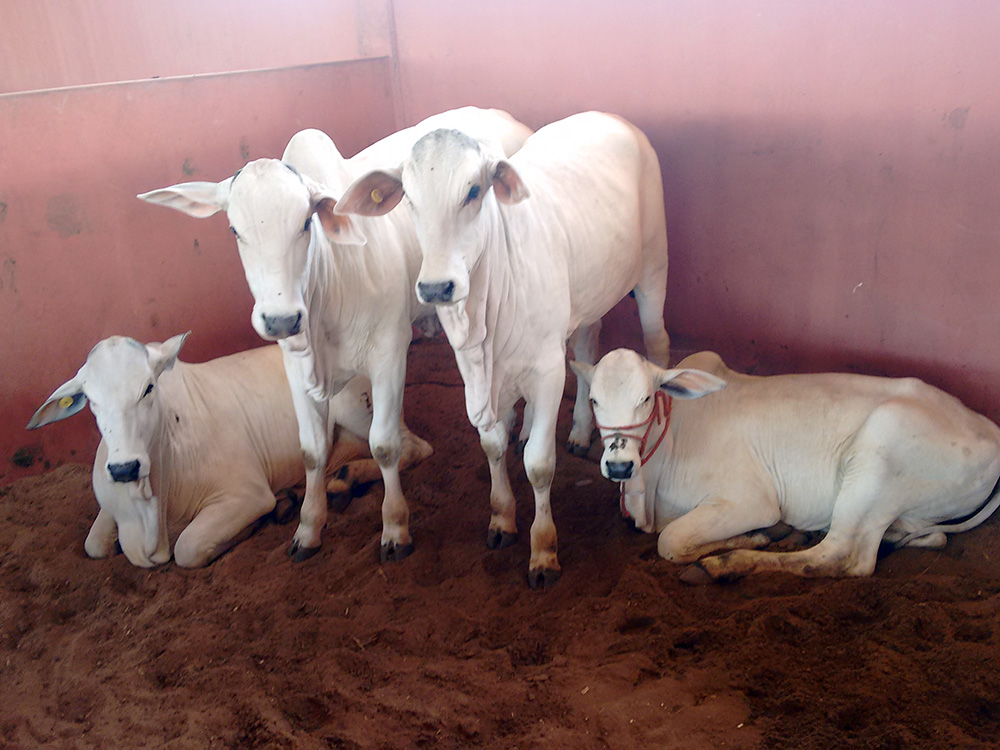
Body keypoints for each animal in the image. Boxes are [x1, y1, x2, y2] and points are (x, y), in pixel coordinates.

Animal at [26, 334, 432, 568]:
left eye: (148, 388)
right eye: (90, 401)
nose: (124, 468)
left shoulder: (246, 493)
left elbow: (188, 548)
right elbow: (94, 544)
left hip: (360, 409)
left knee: (414, 448)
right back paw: (329, 484)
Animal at [136, 108, 531, 563]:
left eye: (306, 222)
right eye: (235, 230)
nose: (280, 319)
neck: (331, 284)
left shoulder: (389, 354)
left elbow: (385, 445)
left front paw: (394, 528)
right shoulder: (295, 365)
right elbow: (311, 451)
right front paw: (307, 528)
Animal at [336, 111, 671, 587]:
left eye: (474, 191)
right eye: (409, 200)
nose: (436, 287)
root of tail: (609, 116)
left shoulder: (548, 371)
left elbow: (539, 465)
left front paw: (543, 550)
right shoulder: (473, 370)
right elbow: (493, 445)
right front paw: (502, 519)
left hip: (653, 267)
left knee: (657, 340)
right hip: (590, 294)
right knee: (589, 340)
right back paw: (580, 431)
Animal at [572, 348, 1000, 581]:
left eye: (646, 398)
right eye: (593, 400)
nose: (619, 466)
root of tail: (991, 432)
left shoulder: (749, 500)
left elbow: (671, 540)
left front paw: (755, 537)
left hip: (876, 462)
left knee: (841, 556)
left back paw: (724, 564)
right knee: (929, 537)